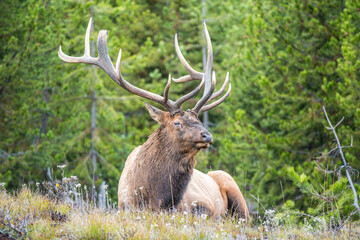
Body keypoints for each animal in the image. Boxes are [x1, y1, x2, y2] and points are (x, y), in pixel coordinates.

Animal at [59, 17, 250, 219]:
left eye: (198, 121)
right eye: (177, 123)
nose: (207, 136)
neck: (156, 197)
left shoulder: (202, 204)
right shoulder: (125, 206)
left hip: (231, 184)